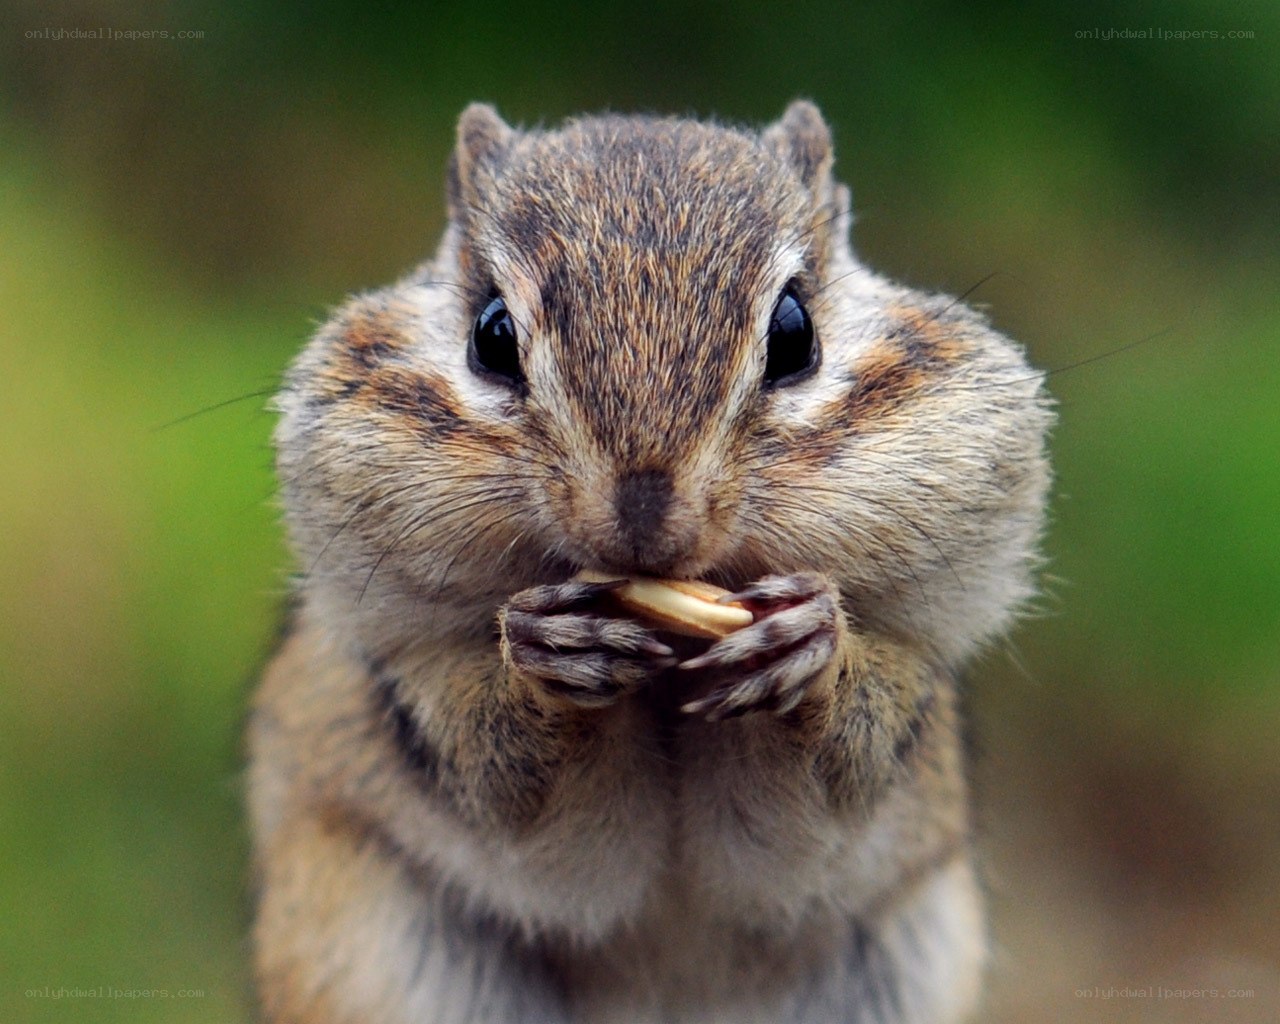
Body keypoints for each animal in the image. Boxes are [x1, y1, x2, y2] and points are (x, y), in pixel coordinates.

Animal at [247, 101, 1054, 1024]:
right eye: (491, 336)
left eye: (795, 334)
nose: (642, 520)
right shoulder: (424, 705)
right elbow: (509, 785)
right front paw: (547, 655)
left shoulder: (890, 738)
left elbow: (835, 782)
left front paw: (810, 647)